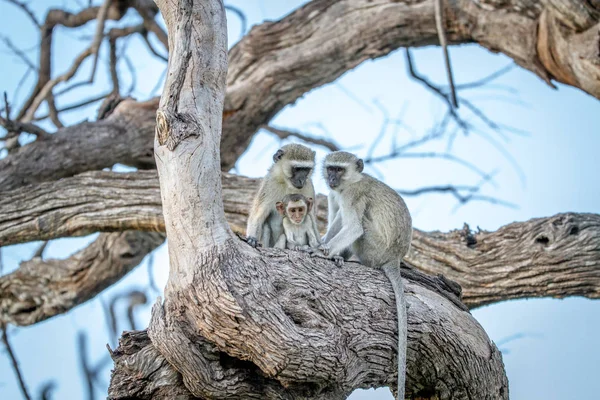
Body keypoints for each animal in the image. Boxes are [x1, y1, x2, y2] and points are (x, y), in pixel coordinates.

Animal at [318, 151, 412, 400]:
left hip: (372, 248)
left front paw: (318, 251)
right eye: (330, 168)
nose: (332, 179)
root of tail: (394, 257)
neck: (353, 180)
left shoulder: (352, 195)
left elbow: (354, 228)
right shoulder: (336, 194)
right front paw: (319, 245)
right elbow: (337, 219)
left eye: (339, 169)